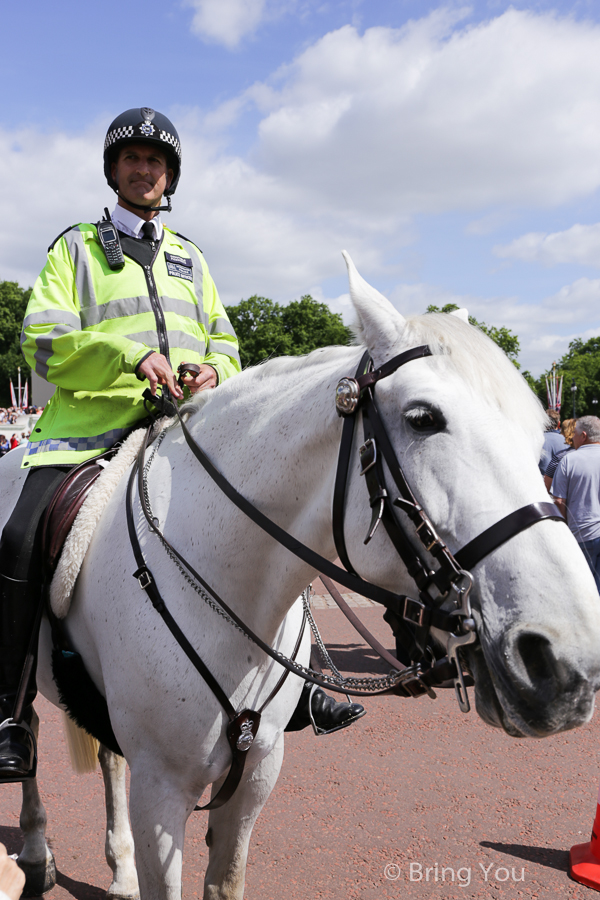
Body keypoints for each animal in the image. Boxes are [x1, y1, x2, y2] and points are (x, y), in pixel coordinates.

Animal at [3, 255, 600, 900]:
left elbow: (226, 878)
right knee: (29, 732)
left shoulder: (256, 773)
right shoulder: (161, 792)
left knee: (108, 756)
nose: (568, 664)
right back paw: (36, 849)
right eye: (423, 418)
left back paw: (119, 870)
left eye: (537, 433)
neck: (225, 591)